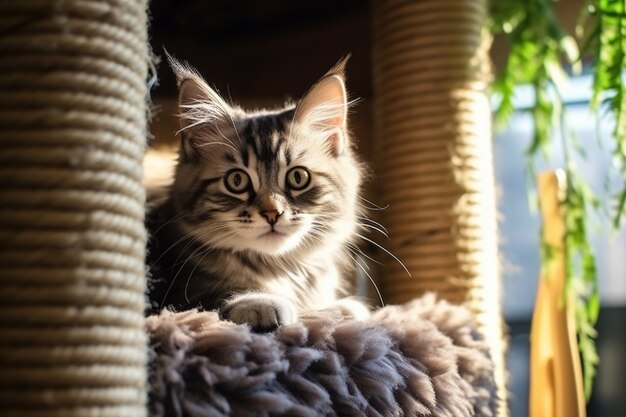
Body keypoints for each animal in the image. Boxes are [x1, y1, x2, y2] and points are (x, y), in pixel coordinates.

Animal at [145, 55, 370, 330]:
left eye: (298, 177)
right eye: (237, 180)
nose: (273, 213)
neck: (278, 268)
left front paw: (342, 308)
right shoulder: (177, 291)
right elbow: (212, 296)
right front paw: (259, 301)